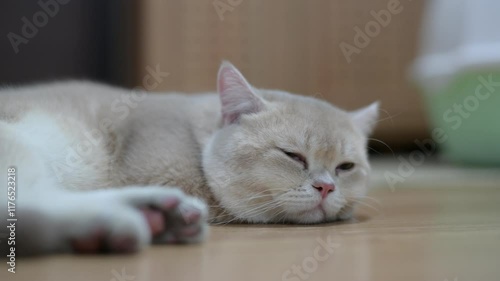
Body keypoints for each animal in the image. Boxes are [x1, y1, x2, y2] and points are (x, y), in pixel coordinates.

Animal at [0, 62, 376, 255]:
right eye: (293, 156)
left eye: (345, 167)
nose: (326, 187)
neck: (197, 135)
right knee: (28, 209)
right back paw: (118, 221)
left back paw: (158, 215)